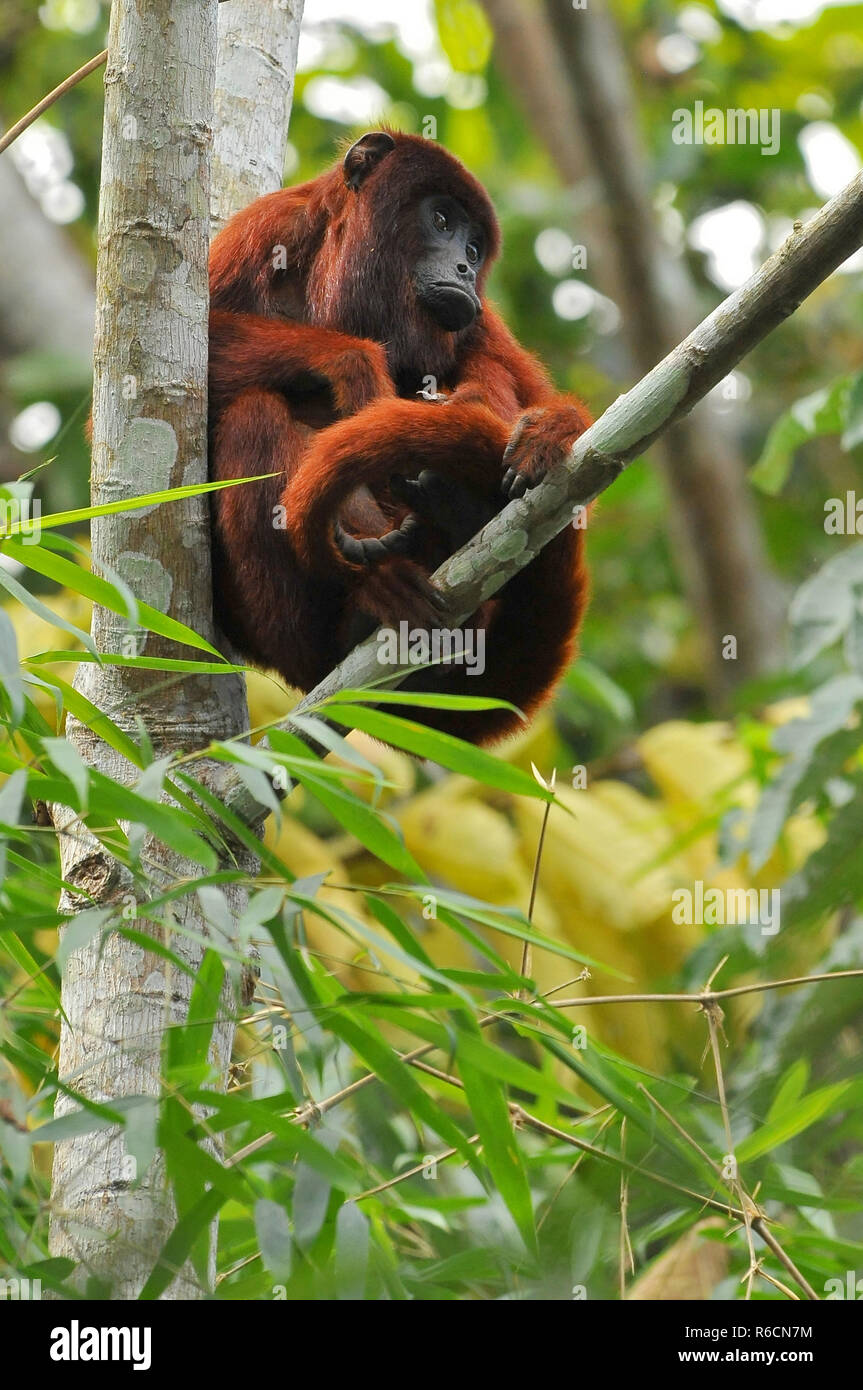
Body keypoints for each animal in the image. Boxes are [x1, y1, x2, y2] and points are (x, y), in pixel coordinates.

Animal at [208, 130, 589, 745]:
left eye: (475, 249)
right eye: (441, 218)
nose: (463, 267)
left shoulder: (479, 317)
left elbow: (523, 389)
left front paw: (549, 430)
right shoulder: (265, 233)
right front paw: (352, 362)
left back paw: (456, 508)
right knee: (252, 414)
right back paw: (373, 597)